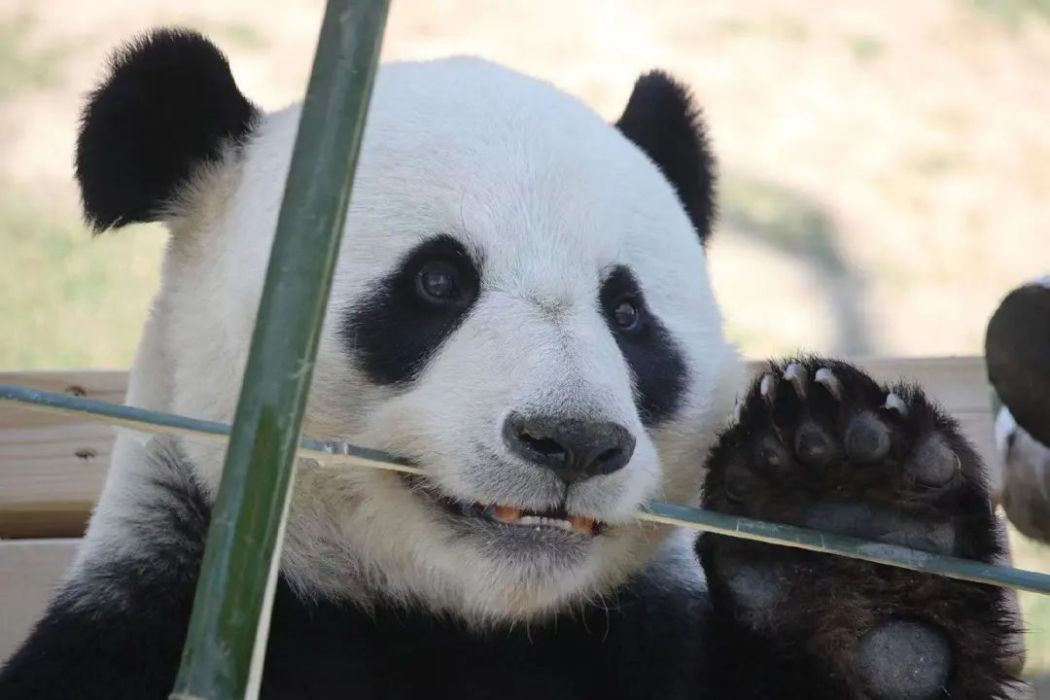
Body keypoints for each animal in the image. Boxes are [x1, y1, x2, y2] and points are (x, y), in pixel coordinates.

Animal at [0, 28, 1016, 700]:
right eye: (438, 281)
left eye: (628, 313)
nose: (572, 441)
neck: (464, 619)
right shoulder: (148, 622)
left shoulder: (638, 644)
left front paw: (856, 527)